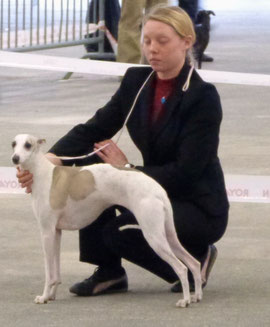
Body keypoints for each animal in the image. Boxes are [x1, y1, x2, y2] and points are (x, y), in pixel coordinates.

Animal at [11, 135, 202, 308]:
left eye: (28, 145)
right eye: (14, 144)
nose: (15, 158)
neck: (43, 174)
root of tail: (158, 189)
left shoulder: (47, 232)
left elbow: (49, 273)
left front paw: (43, 297)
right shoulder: (56, 232)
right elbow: (56, 272)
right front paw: (51, 295)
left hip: (153, 236)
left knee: (181, 268)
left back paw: (185, 300)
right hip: (168, 234)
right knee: (193, 263)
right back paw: (196, 296)